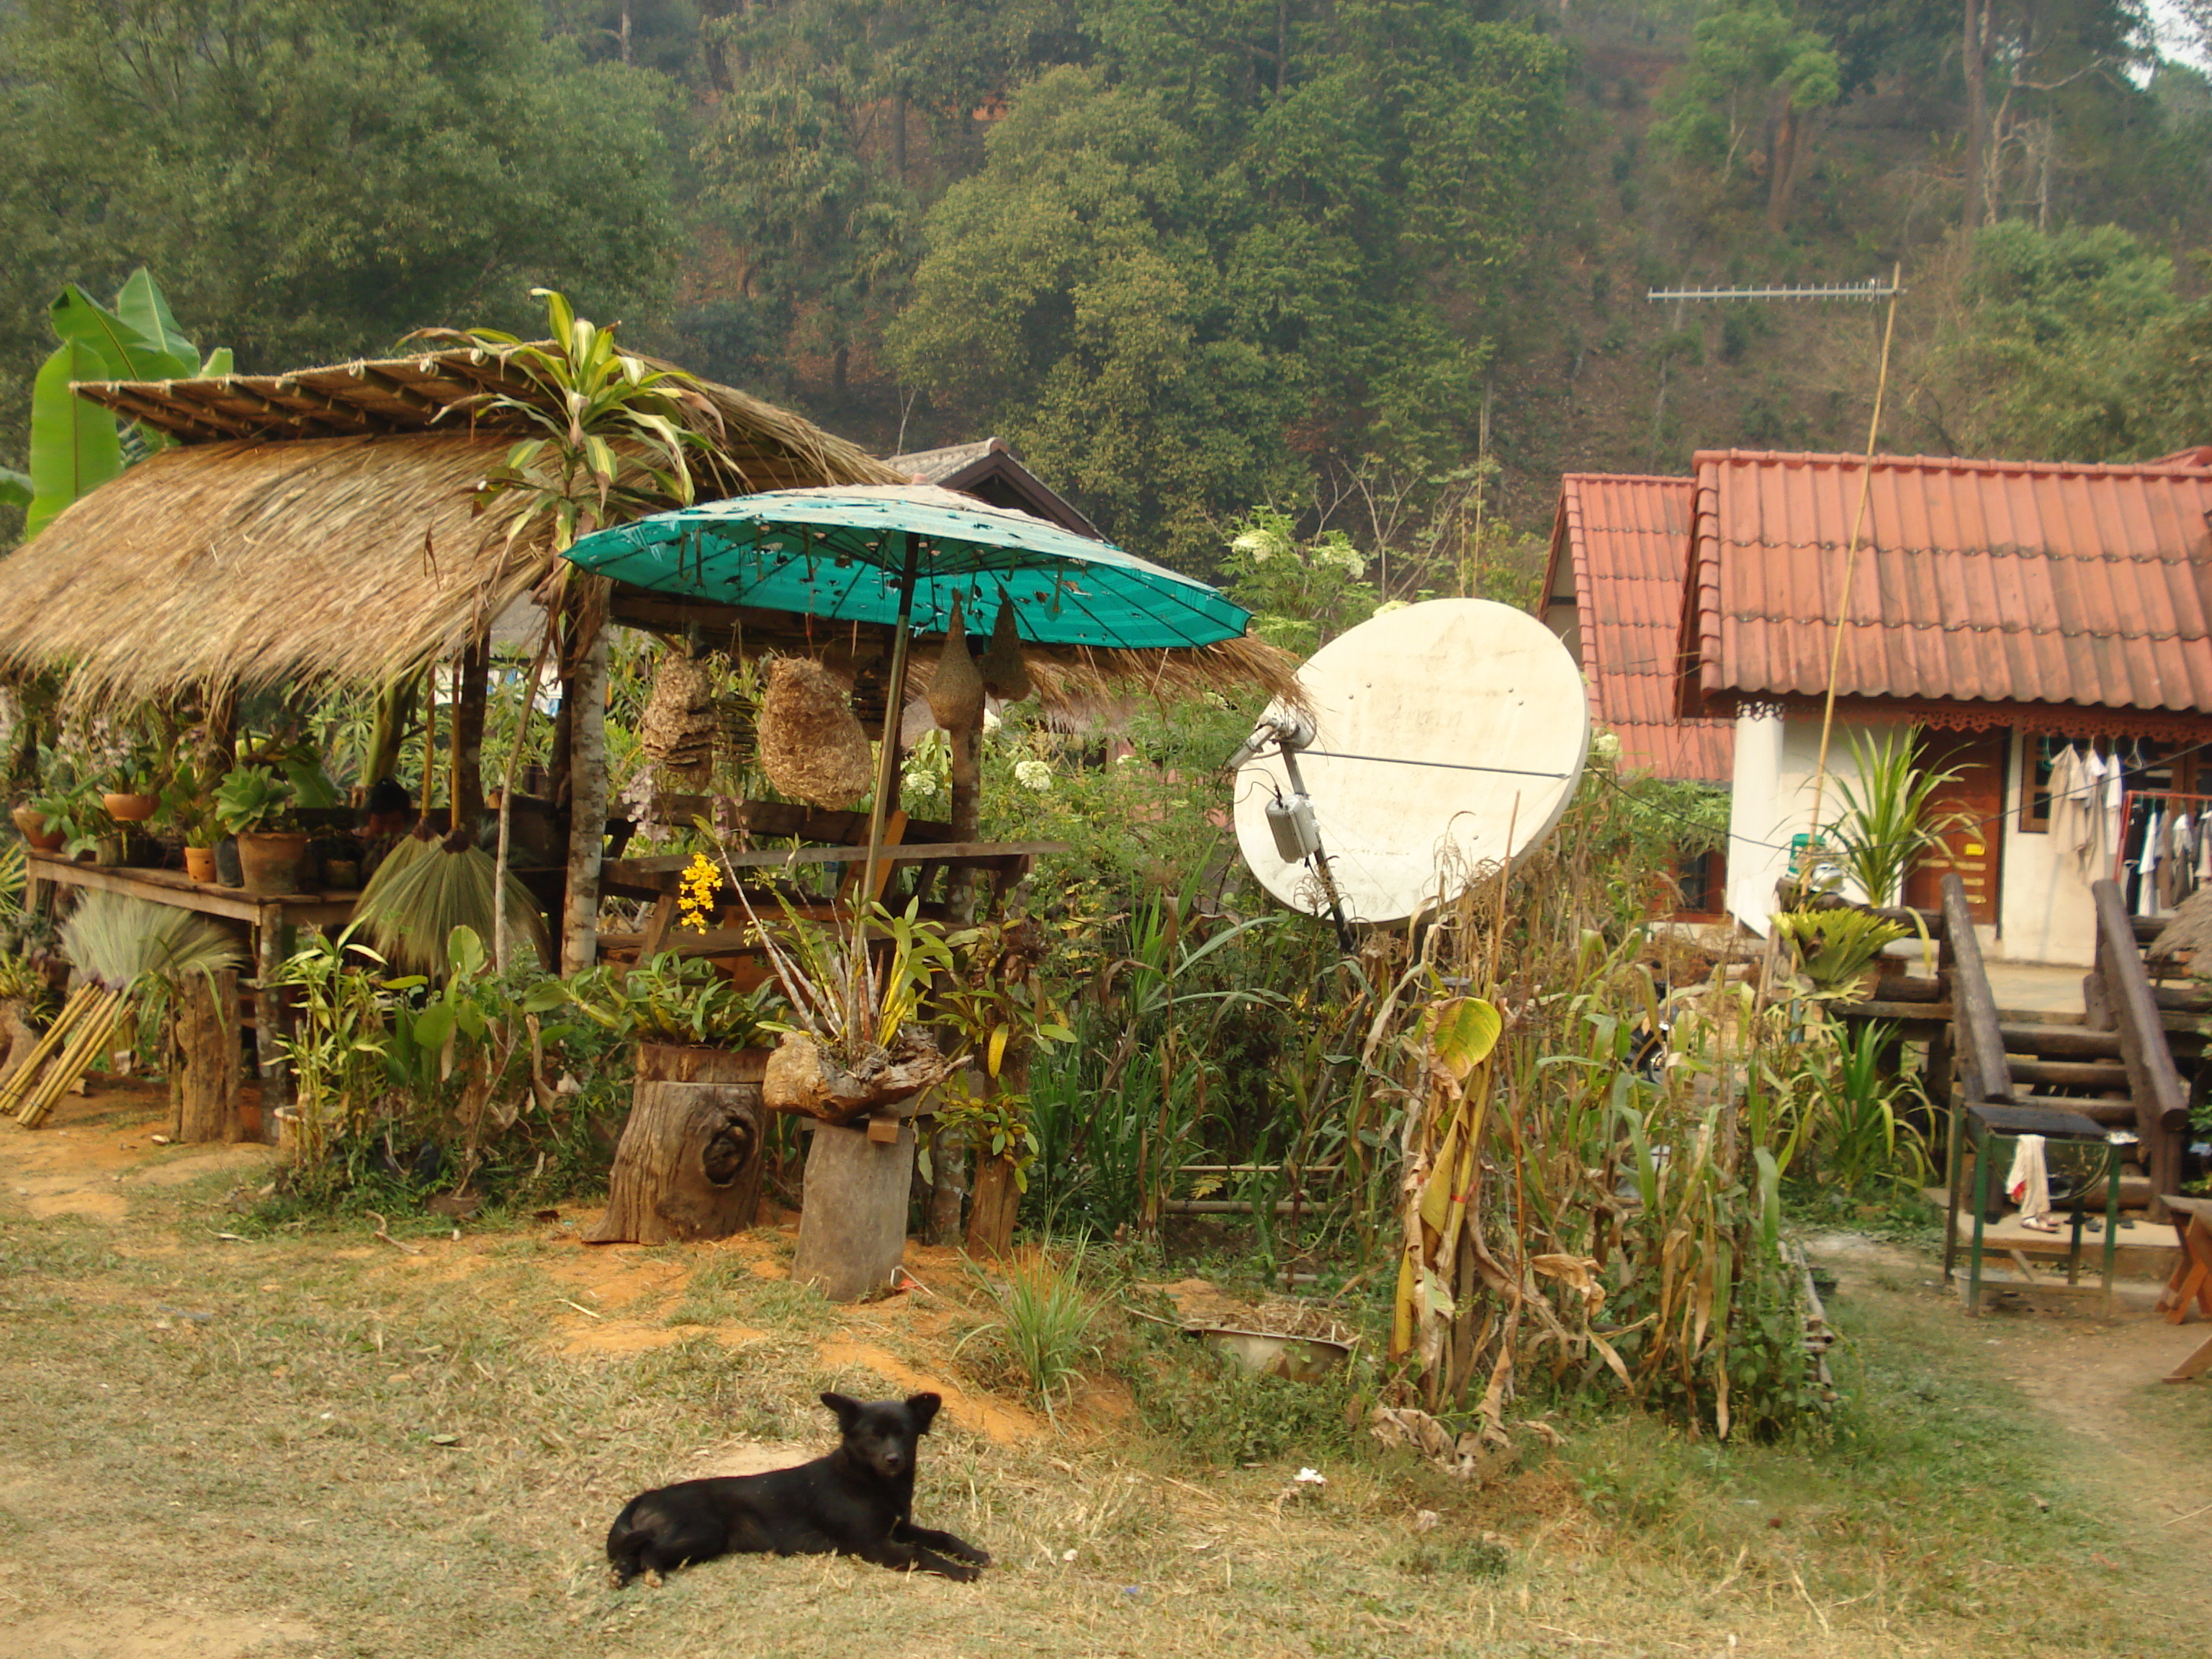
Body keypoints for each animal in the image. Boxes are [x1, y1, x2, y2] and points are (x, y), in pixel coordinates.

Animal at [601, 1398, 991, 1592]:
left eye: (904, 1435)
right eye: (873, 1436)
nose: (893, 1459)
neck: (871, 1483)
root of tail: (647, 1495)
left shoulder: (899, 1528)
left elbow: (942, 1536)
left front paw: (973, 1553)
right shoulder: (873, 1545)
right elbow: (921, 1553)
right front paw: (959, 1571)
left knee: (633, 1553)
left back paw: (622, 1575)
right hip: (704, 1532)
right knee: (649, 1552)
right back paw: (652, 1573)